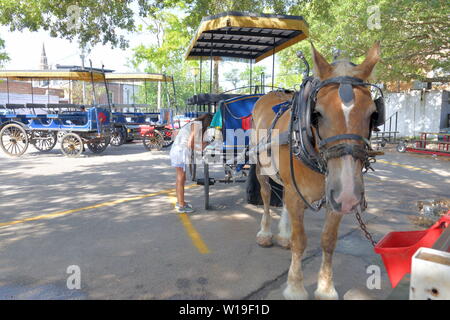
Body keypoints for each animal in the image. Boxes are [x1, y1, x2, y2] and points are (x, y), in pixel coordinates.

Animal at [253, 42, 380, 300]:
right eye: (317, 113)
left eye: (373, 114)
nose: (350, 195)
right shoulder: (300, 193)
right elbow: (300, 241)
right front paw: (295, 287)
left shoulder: (335, 198)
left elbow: (328, 241)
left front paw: (325, 289)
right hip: (261, 168)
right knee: (267, 195)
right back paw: (266, 234)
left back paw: (283, 235)